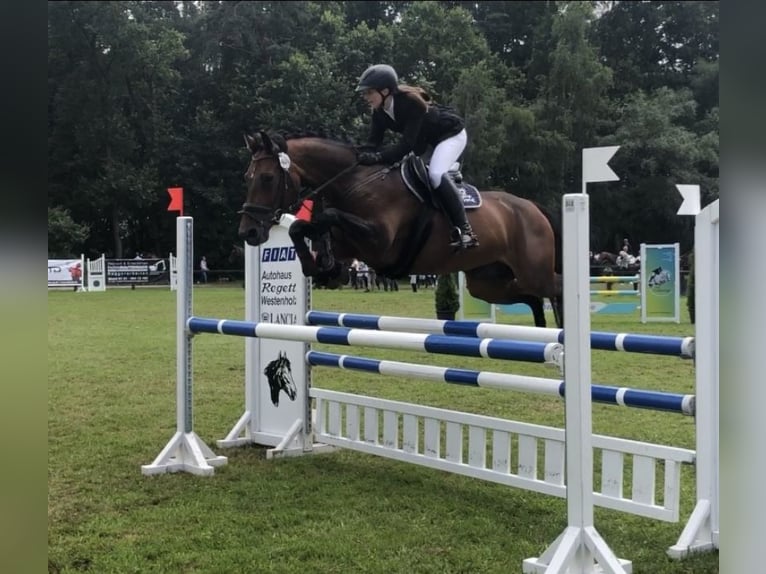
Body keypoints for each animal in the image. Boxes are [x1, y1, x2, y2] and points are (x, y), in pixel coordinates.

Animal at [238, 131, 564, 328]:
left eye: (267, 178)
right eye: (248, 177)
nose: (248, 233)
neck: (356, 184)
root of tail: (532, 207)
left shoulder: (381, 244)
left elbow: (328, 216)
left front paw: (322, 264)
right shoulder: (351, 244)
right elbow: (303, 228)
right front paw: (322, 267)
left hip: (533, 271)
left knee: (556, 289)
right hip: (487, 282)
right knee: (532, 297)